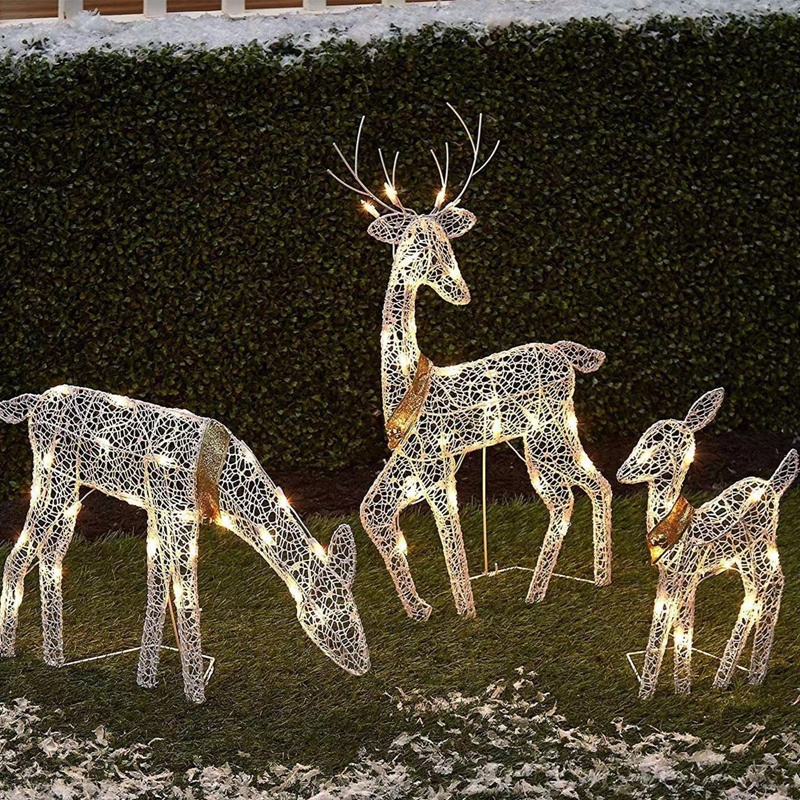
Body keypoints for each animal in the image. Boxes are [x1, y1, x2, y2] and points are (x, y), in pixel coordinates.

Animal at [0, 386, 370, 703]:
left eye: (353, 609)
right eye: (327, 614)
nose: (362, 664)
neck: (222, 482)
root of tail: (35, 402)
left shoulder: (158, 514)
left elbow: (157, 591)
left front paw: (146, 680)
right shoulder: (177, 516)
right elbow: (186, 596)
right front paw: (195, 694)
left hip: (71, 492)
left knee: (50, 556)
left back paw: (54, 657)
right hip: (54, 479)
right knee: (18, 555)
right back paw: (10, 651)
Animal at [329, 108, 613, 621]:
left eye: (446, 241)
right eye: (413, 242)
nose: (459, 290)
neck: (402, 386)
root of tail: (566, 353)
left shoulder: (436, 468)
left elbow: (449, 531)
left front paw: (465, 609)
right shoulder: (410, 473)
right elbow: (371, 515)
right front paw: (420, 608)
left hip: (544, 438)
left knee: (565, 498)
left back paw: (537, 592)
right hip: (558, 433)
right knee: (595, 484)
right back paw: (596, 578)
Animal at [617, 388, 797, 698]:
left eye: (657, 441)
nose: (622, 473)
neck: (677, 527)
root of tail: (773, 486)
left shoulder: (688, 576)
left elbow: (681, 624)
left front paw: (678, 689)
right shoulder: (669, 577)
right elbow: (663, 620)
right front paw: (650, 690)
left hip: (762, 548)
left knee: (773, 585)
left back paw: (749, 675)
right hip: (744, 559)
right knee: (755, 593)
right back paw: (728, 677)